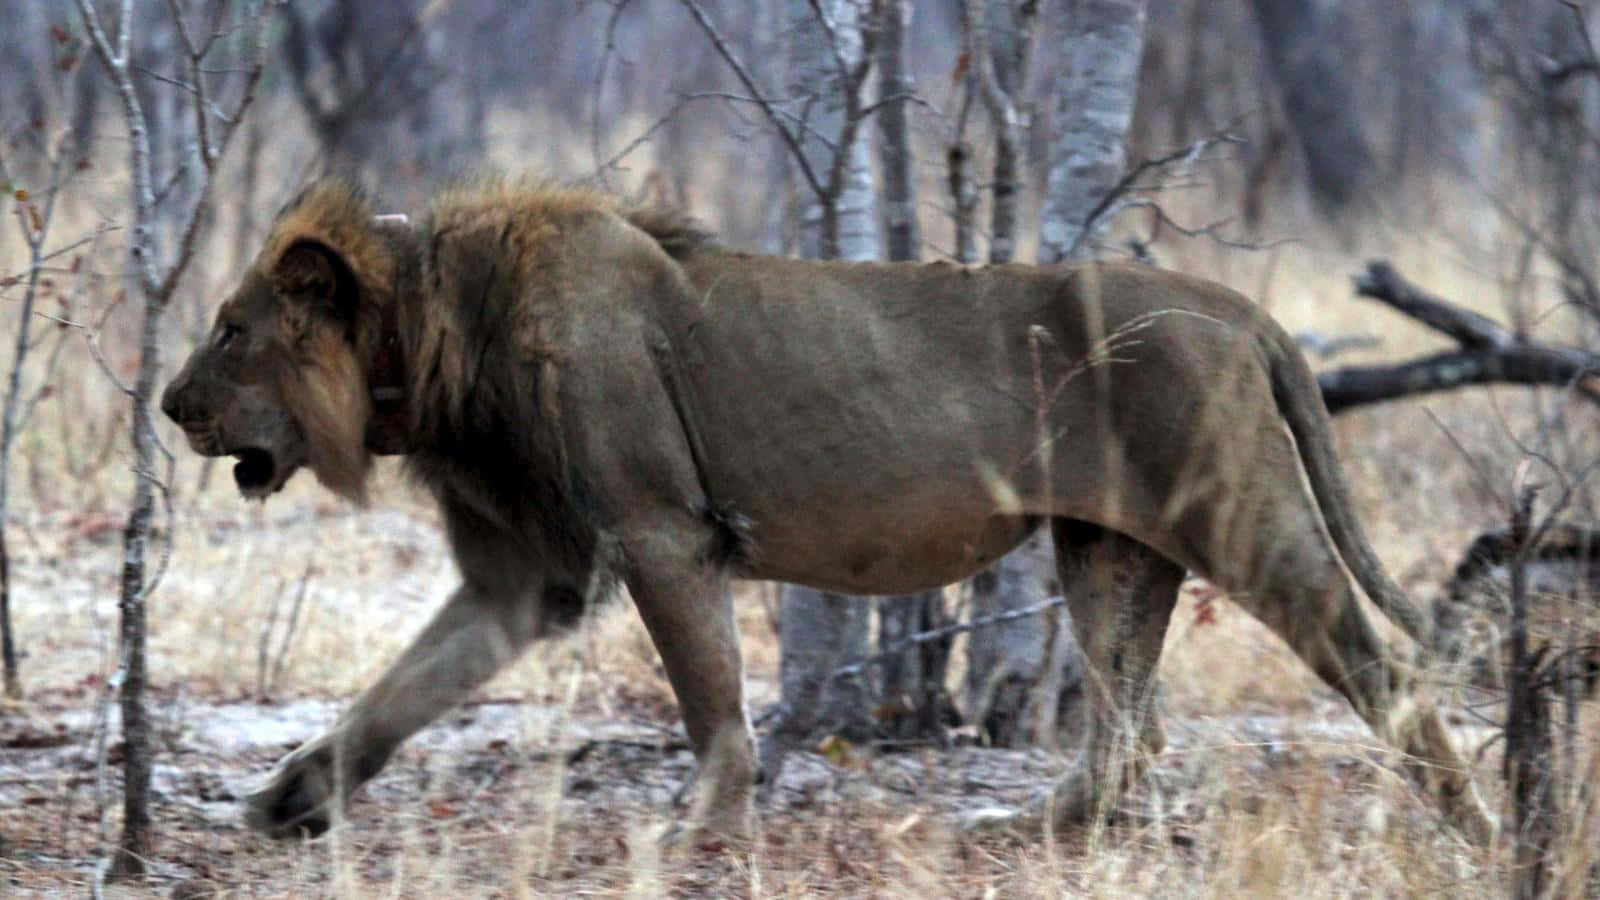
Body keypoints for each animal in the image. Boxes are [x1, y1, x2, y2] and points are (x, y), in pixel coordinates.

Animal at [161, 179, 1494, 845]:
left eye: (230, 333)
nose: (170, 408)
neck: (436, 333)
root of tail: (1245, 310)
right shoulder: (519, 577)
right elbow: (398, 691)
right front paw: (291, 799)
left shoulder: (661, 529)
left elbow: (708, 699)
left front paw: (700, 830)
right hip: (1108, 550)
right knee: (1124, 722)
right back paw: (1032, 827)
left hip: (1239, 522)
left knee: (1379, 671)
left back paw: (1479, 827)